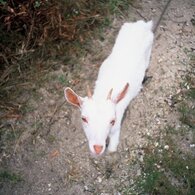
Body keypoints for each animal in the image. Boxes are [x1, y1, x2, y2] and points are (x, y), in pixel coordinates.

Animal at [64, 20, 154, 155]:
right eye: (84, 118)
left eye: (112, 120)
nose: (98, 148)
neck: (102, 92)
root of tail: (143, 24)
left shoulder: (116, 128)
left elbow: (112, 149)